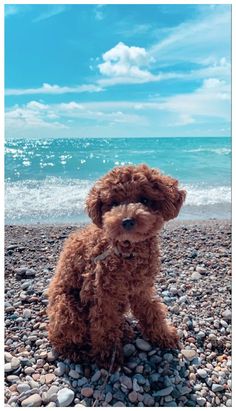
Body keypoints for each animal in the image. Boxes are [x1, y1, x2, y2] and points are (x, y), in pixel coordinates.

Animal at [46, 163, 186, 368]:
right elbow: (104, 326)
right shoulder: (103, 295)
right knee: (64, 335)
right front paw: (107, 355)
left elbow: (152, 312)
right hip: (67, 308)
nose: (127, 221)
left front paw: (163, 335)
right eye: (113, 203)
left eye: (144, 199)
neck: (128, 251)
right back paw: (75, 351)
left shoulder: (141, 288)